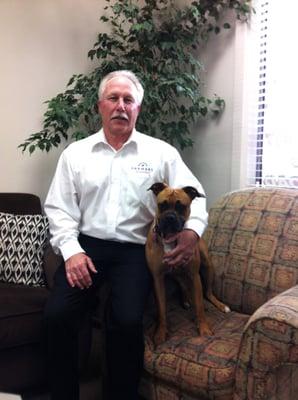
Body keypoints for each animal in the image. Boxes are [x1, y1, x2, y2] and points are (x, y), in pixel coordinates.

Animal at [146, 183, 229, 346]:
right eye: (162, 205)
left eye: (181, 206)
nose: (170, 217)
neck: (170, 239)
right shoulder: (158, 279)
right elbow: (161, 310)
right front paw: (160, 333)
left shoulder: (194, 276)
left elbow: (200, 307)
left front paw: (204, 329)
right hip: (177, 274)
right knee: (183, 286)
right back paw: (185, 300)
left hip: (207, 268)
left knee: (208, 293)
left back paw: (221, 305)